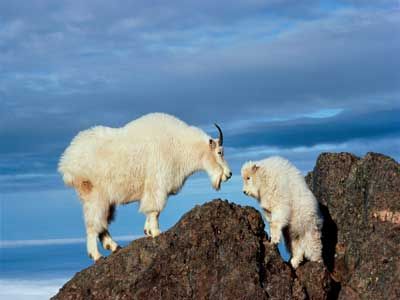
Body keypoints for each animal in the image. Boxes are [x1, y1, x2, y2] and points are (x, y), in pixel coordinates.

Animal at [57, 112, 230, 260]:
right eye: (220, 152)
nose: (229, 174)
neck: (180, 146)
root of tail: (67, 162)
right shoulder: (158, 182)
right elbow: (155, 209)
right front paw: (156, 232)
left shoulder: (153, 188)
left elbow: (151, 210)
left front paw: (147, 231)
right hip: (94, 193)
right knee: (93, 223)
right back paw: (97, 255)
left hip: (105, 199)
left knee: (102, 222)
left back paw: (113, 246)